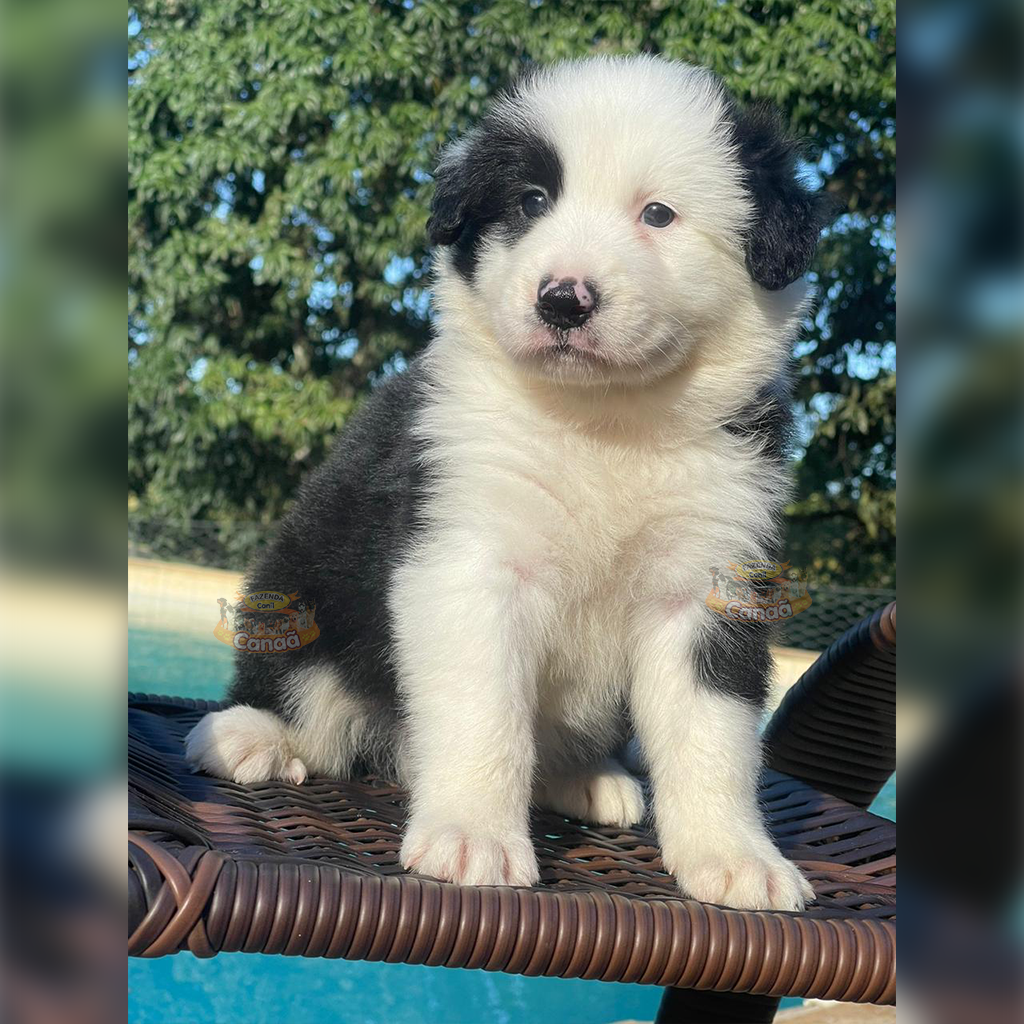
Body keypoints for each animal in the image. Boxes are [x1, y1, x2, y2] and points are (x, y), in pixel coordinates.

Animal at [186, 56, 831, 913]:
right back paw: (249, 735)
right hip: (300, 584)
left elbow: (712, 731)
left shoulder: (709, 576)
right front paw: (471, 839)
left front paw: (733, 858)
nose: (563, 300)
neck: (605, 423)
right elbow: (482, 708)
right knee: (303, 696)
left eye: (658, 214)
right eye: (531, 202)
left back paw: (586, 779)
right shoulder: (467, 555)